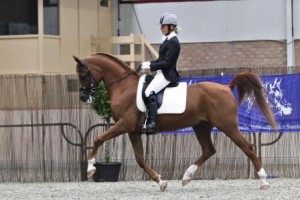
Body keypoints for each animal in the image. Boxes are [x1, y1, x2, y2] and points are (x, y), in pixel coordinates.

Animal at [73, 53, 276, 192]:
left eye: (83, 73)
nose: (82, 97)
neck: (123, 87)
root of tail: (227, 87)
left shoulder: (124, 125)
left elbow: (98, 138)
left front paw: (90, 169)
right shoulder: (133, 131)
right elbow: (140, 159)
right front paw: (161, 181)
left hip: (228, 126)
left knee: (247, 148)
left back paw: (264, 181)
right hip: (201, 126)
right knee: (208, 150)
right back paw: (186, 176)